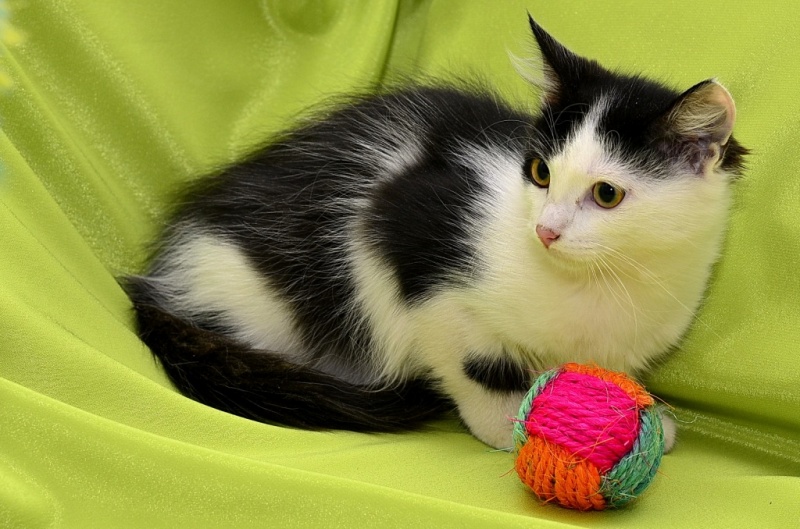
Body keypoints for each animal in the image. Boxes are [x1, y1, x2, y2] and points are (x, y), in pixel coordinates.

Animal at [125, 15, 746, 450]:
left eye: (607, 194)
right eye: (540, 172)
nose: (544, 229)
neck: (599, 284)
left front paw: (640, 414)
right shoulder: (401, 229)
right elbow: (468, 359)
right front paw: (504, 424)